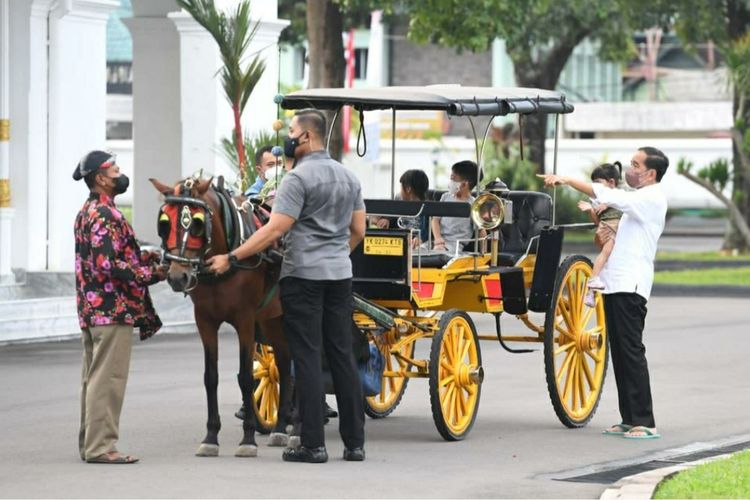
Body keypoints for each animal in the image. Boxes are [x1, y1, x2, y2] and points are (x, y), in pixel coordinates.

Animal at [150, 175, 294, 458]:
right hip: (272, 319)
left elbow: (245, 377)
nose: (177, 276)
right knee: (283, 365)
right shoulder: (204, 321)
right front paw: (211, 436)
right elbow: (211, 377)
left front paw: (248, 438)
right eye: (164, 222)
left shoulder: (245, 320)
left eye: (197, 223)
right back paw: (281, 425)